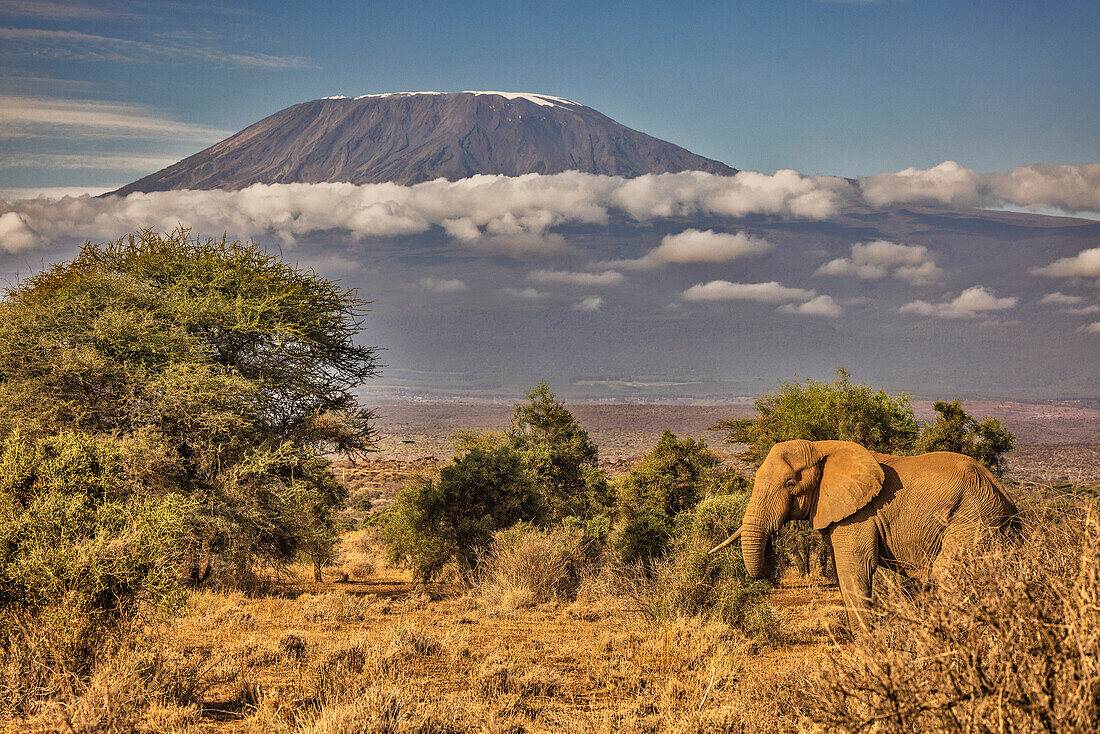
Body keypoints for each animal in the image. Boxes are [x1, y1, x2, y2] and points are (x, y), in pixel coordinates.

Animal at [708, 440, 1016, 629]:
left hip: (974, 515)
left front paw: (867, 646)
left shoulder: (860, 513)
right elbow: (842, 571)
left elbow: (855, 568)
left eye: (790, 484)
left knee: (947, 572)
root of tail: (1001, 490)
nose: (771, 552)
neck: (822, 447)